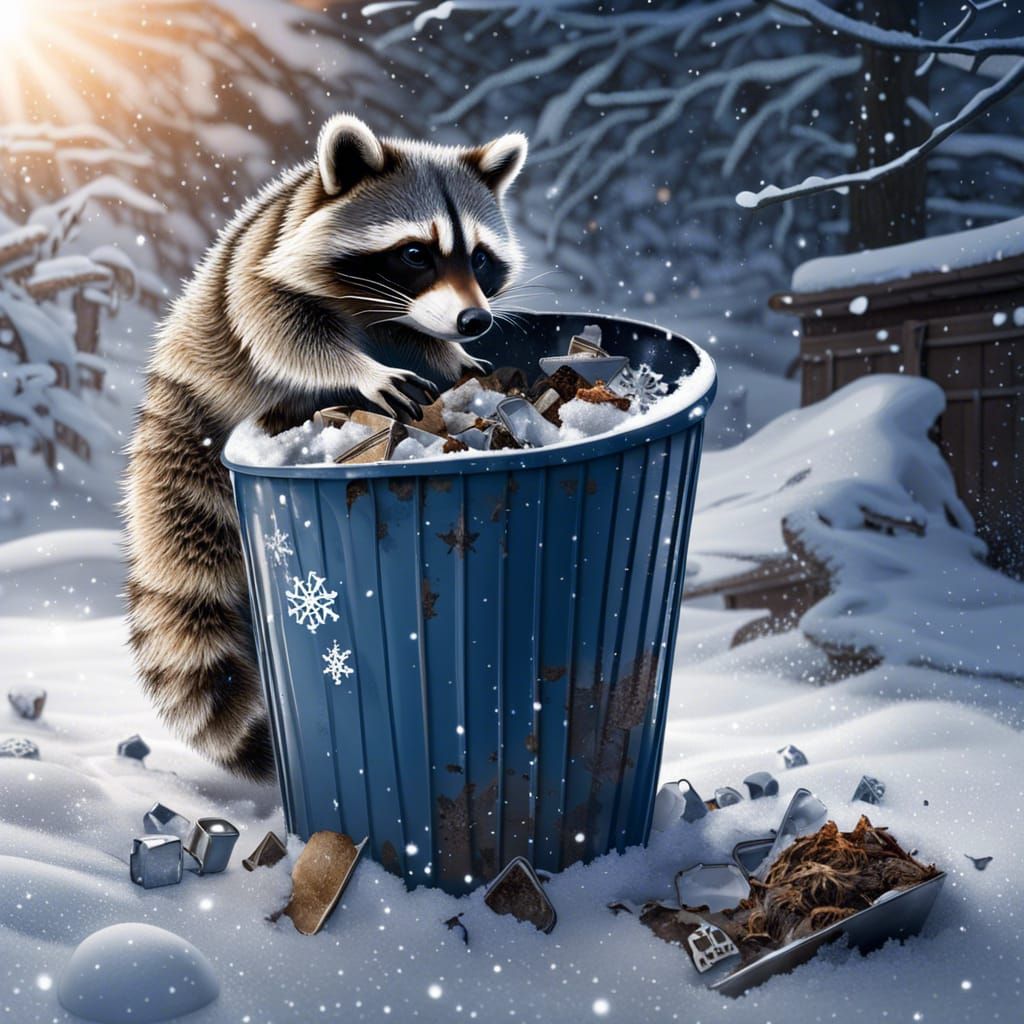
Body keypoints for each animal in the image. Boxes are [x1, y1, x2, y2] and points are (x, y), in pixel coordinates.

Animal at [123, 115, 528, 780]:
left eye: (479, 257)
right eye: (414, 253)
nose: (475, 321)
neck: (370, 301)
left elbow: (424, 344)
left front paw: (453, 356)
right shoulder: (261, 261)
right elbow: (276, 327)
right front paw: (363, 369)